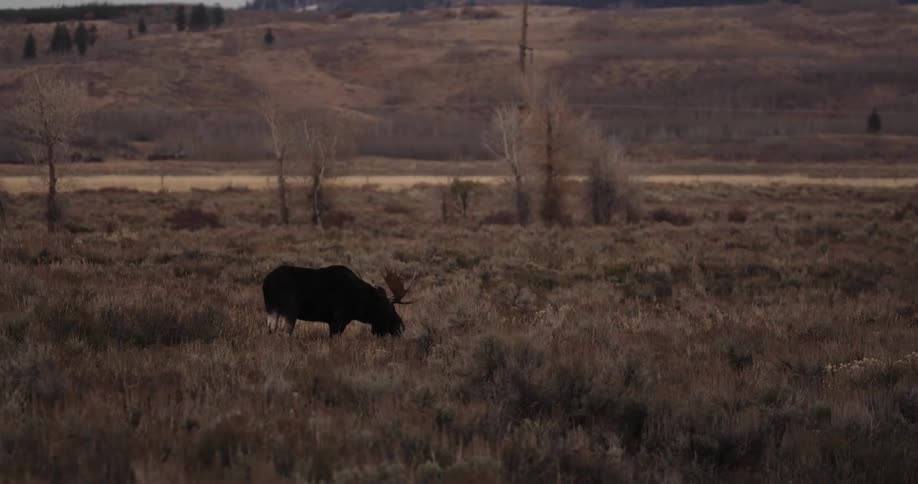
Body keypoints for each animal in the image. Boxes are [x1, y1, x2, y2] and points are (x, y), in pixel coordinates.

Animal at [261, 265, 414, 337]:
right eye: (388, 308)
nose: (400, 327)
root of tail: (266, 283)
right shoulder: (337, 319)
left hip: (271, 308)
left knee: (271, 329)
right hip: (290, 309)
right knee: (284, 331)